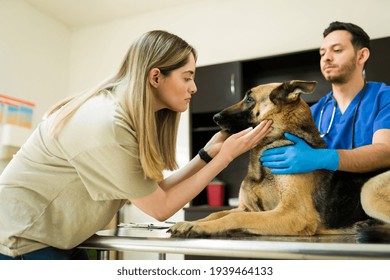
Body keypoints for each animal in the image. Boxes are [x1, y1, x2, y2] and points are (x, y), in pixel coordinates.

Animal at [170, 80, 390, 240]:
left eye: (249, 98)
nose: (215, 117)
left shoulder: (293, 213)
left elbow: (234, 216)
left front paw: (197, 226)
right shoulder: (248, 207)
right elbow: (218, 214)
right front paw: (194, 222)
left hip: (368, 190)